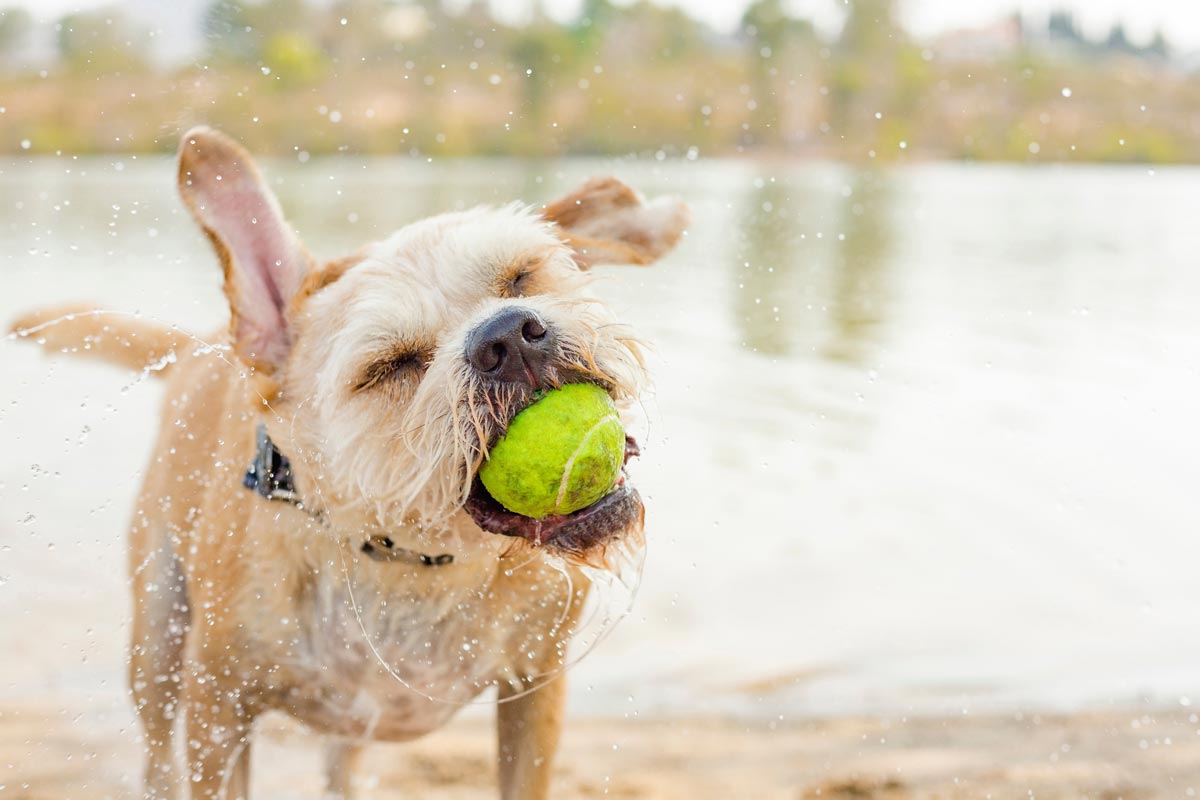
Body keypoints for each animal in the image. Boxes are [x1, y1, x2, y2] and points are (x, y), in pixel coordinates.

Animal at [9, 128, 691, 796]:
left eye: (520, 278)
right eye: (391, 366)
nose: (507, 335)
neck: (412, 565)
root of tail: (208, 345)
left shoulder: (534, 686)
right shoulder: (218, 715)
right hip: (157, 645)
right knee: (156, 752)